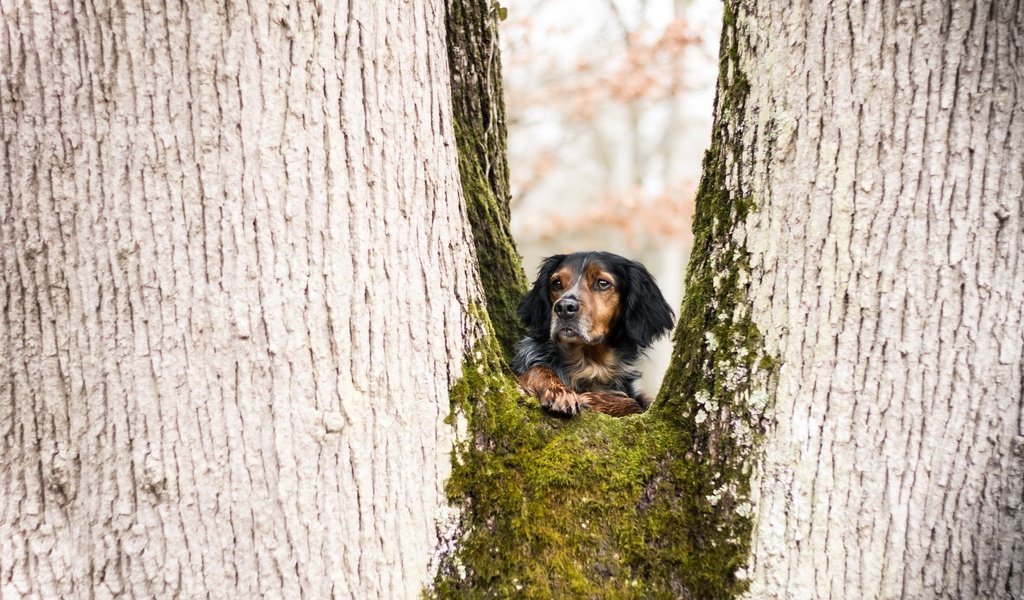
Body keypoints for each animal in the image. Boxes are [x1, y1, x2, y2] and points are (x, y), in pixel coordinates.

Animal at [509, 250, 671, 415]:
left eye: (602, 283)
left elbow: (635, 404)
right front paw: (558, 392)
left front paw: (595, 400)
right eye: (556, 284)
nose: (564, 307)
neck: (589, 365)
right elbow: (538, 369)